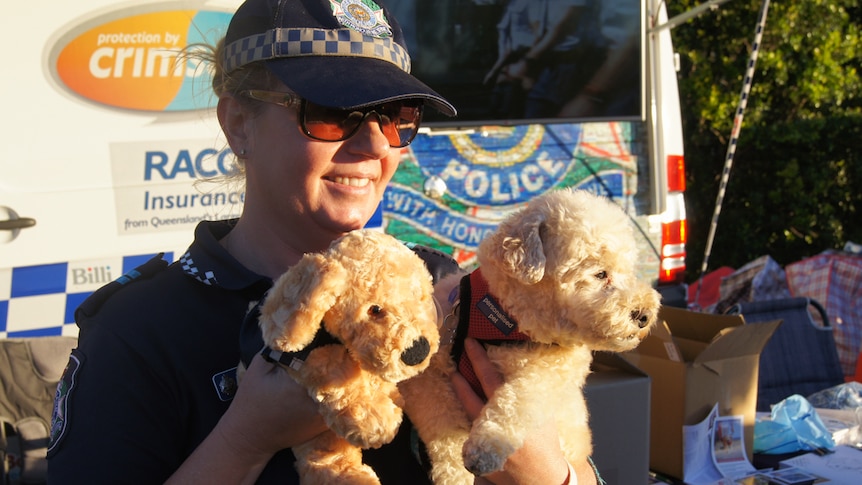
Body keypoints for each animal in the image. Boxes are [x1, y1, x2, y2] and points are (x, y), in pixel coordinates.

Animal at [400, 187, 660, 482]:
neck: (508, 325)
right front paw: (454, 475)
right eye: (600, 274)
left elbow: (517, 400)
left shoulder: (553, 376)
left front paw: (486, 447)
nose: (645, 315)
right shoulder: (424, 379)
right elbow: (442, 425)